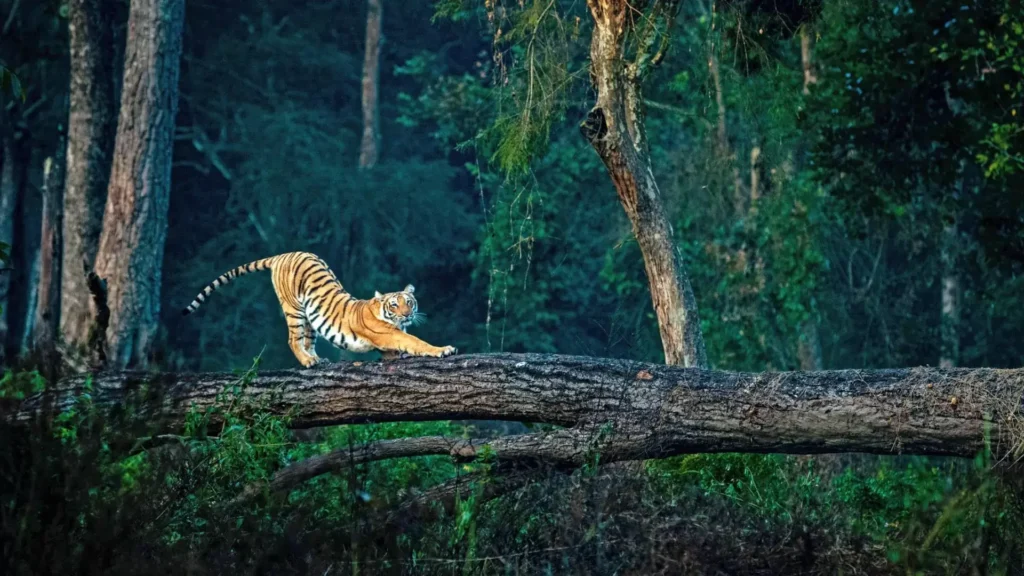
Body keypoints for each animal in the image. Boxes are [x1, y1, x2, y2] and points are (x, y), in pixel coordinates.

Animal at [182, 249, 458, 364]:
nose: (408, 314)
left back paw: (317, 358)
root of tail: (282, 255)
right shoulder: (389, 334)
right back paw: (308, 362)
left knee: (307, 340)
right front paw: (444, 350)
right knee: (293, 340)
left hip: (311, 318)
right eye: (395, 305)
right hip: (293, 309)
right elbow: (416, 342)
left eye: (409, 302)